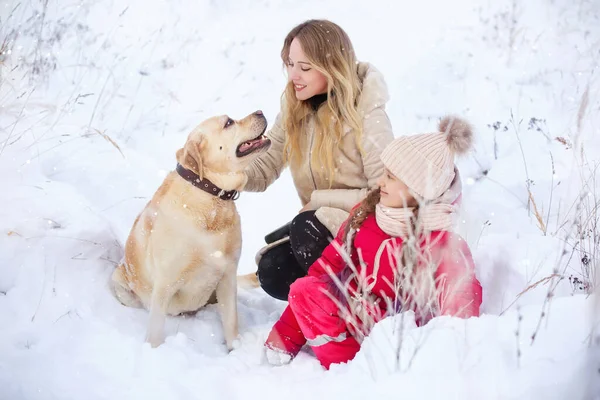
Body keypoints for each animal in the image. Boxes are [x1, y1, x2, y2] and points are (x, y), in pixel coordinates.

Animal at [111, 110, 270, 350]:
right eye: (229, 122)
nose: (260, 111)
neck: (211, 197)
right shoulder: (165, 283)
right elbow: (155, 329)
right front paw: (153, 350)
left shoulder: (227, 275)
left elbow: (231, 321)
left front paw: (235, 349)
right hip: (120, 281)